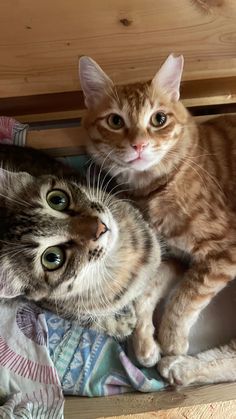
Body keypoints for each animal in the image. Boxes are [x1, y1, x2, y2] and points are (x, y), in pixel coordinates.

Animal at [0, 144, 162, 354]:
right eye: (52, 258)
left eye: (57, 199)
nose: (99, 227)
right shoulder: (55, 306)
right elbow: (98, 321)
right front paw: (124, 321)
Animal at [79, 54, 236, 386]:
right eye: (115, 121)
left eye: (159, 119)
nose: (139, 145)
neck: (153, 188)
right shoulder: (171, 256)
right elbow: (144, 294)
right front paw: (145, 344)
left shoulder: (222, 252)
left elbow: (185, 297)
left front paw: (171, 339)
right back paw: (179, 368)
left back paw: (180, 365)